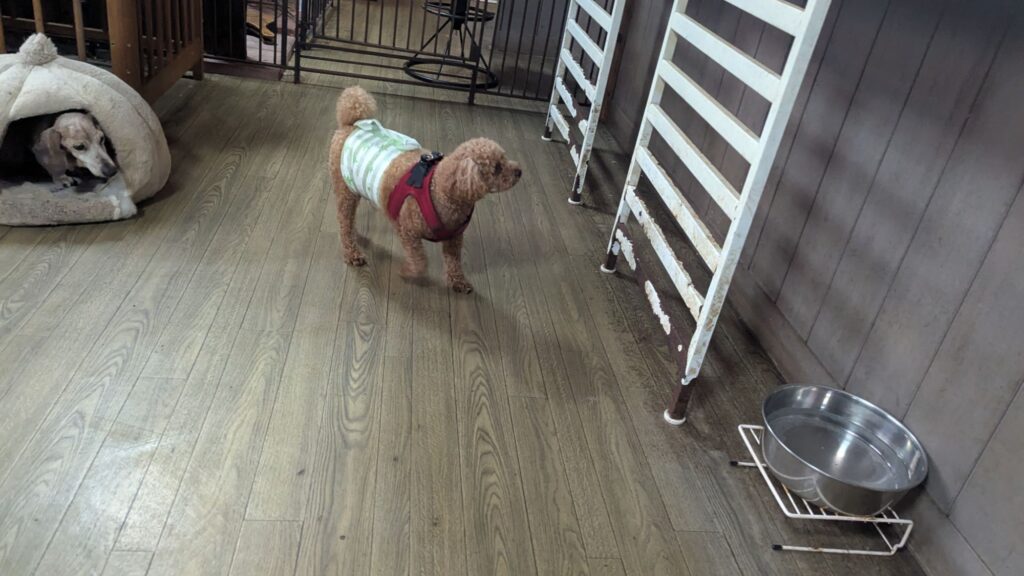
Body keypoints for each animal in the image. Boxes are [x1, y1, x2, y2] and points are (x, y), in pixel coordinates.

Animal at [330, 86, 522, 293]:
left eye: (505, 158)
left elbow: (454, 262)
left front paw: (459, 282)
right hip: (345, 190)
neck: (441, 189)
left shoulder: (454, 239)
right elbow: (419, 261)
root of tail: (351, 125)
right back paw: (353, 253)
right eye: (497, 168)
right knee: (344, 222)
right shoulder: (408, 231)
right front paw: (407, 272)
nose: (519, 171)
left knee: (348, 220)